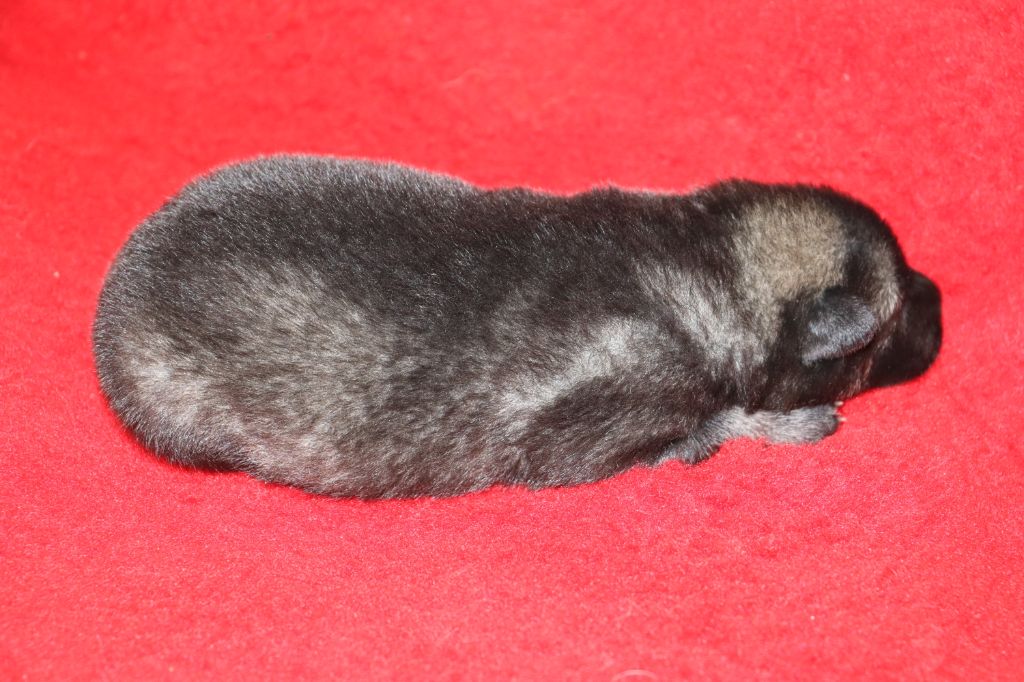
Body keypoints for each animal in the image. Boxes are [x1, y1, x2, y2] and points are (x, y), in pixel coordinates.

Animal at [92, 155, 942, 498]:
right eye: (893, 320)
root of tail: (112, 299)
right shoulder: (600, 424)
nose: (940, 303)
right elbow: (717, 422)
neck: (706, 261)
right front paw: (790, 422)